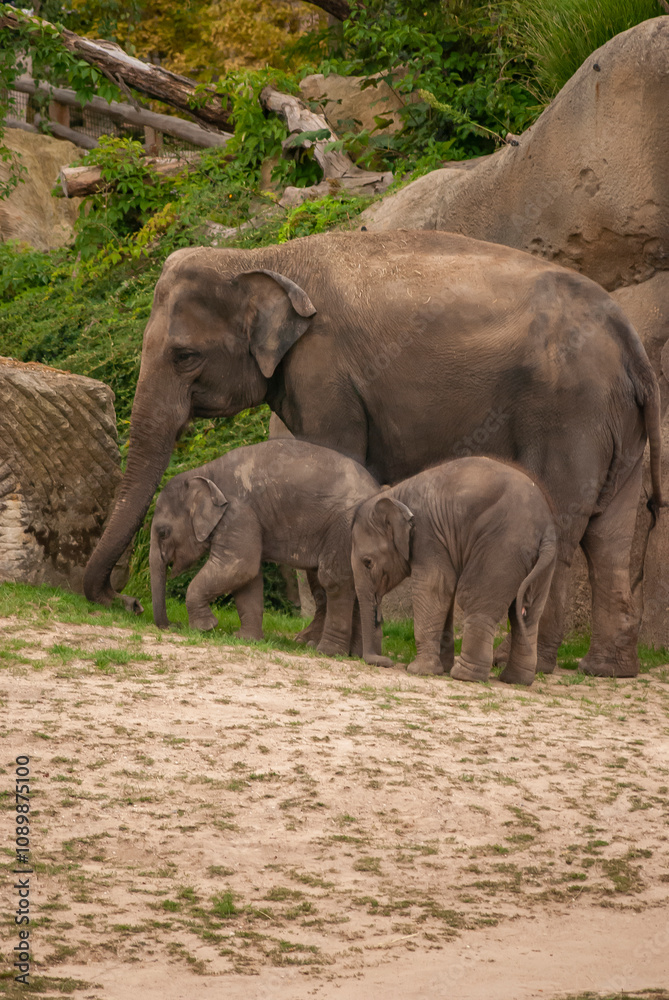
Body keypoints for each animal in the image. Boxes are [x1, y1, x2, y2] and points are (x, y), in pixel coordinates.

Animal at [149, 438, 381, 655]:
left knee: (336, 579)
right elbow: (247, 578)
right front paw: (245, 638)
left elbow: (237, 566)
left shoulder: (238, 513)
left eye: (163, 532)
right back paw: (353, 653)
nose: (173, 625)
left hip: (345, 529)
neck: (204, 472)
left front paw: (205, 628)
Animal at [351, 457, 558, 685]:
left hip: (502, 548)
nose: (385, 661)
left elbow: (434, 587)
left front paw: (419, 670)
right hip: (541, 565)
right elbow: (445, 593)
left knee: (474, 600)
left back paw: (465, 675)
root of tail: (546, 530)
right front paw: (440, 668)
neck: (396, 494)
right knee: (528, 614)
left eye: (368, 562)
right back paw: (514, 680)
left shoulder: (428, 536)